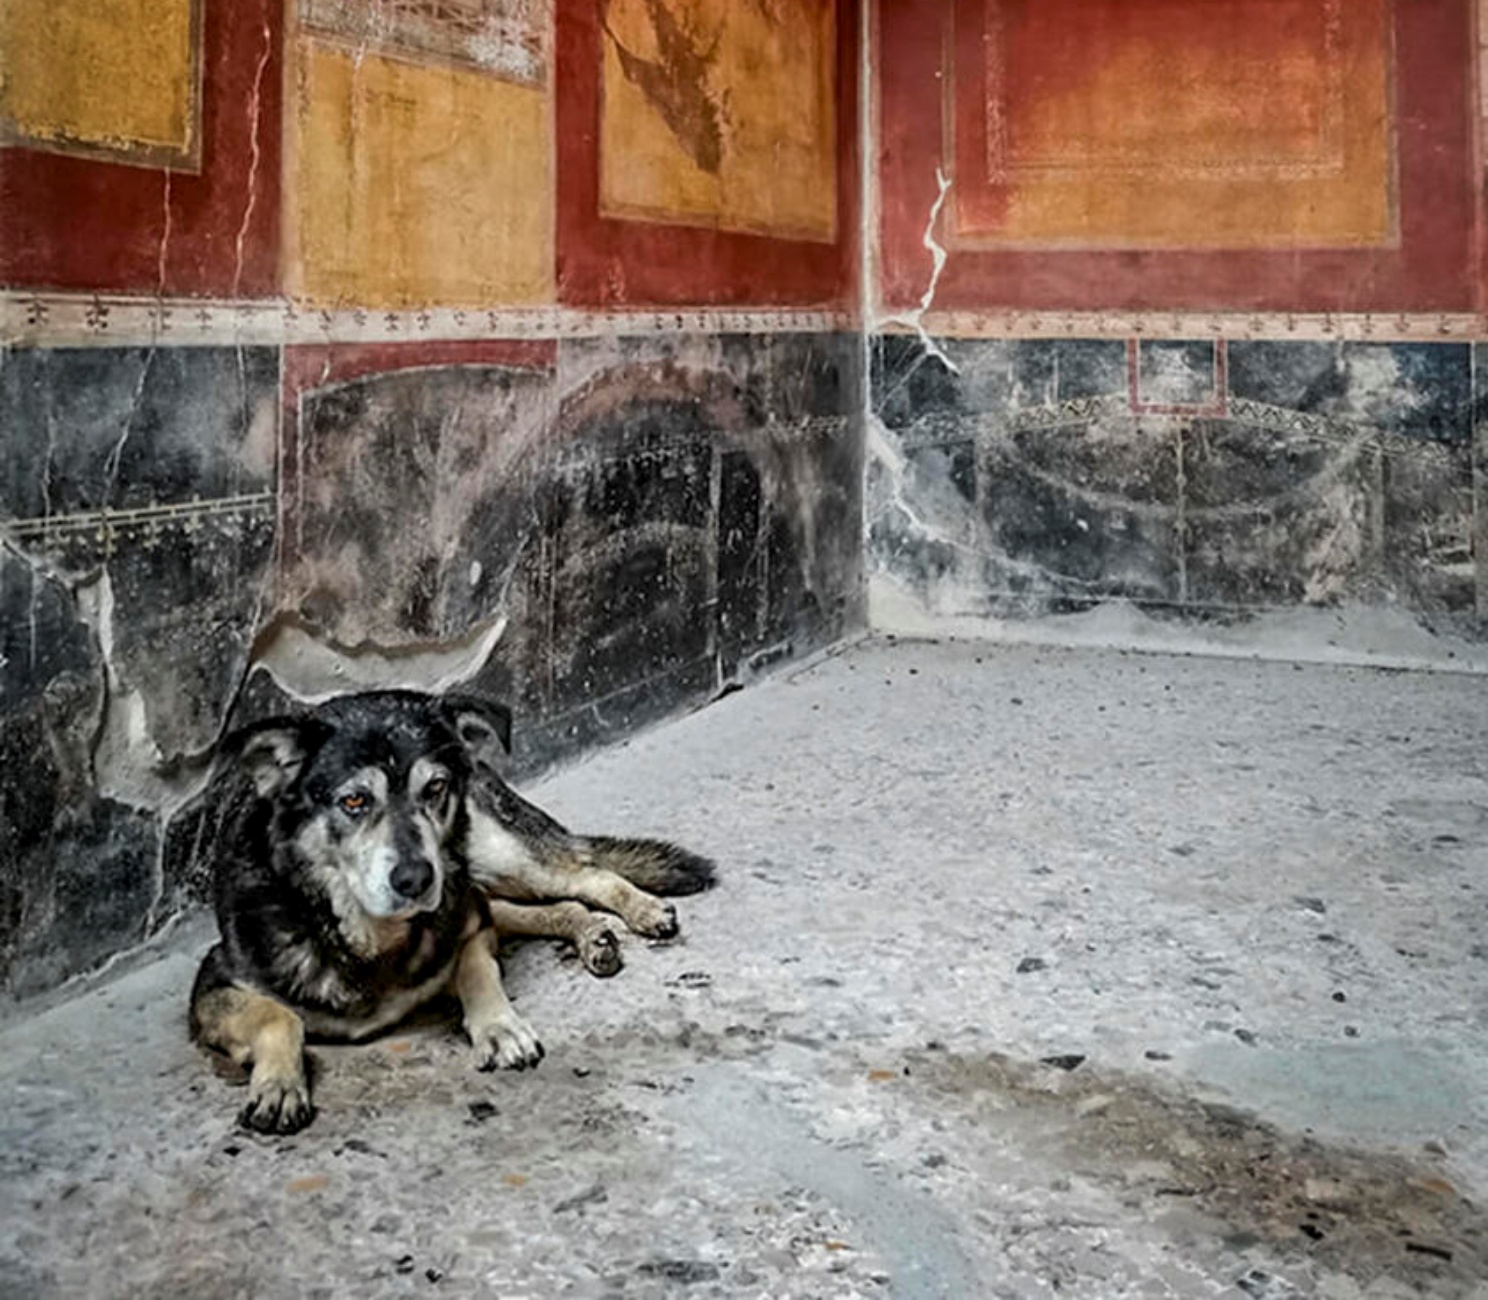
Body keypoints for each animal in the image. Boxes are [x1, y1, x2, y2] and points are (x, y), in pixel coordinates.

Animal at [191, 684, 714, 1130]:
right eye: (354, 800)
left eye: (435, 788)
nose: (416, 879)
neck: (370, 936)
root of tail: (479, 762)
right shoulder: (212, 985)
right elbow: (280, 1016)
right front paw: (279, 1085)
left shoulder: (470, 923)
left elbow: (474, 967)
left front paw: (499, 1027)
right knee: (540, 904)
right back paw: (593, 935)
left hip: (496, 853)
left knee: (586, 873)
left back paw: (642, 910)